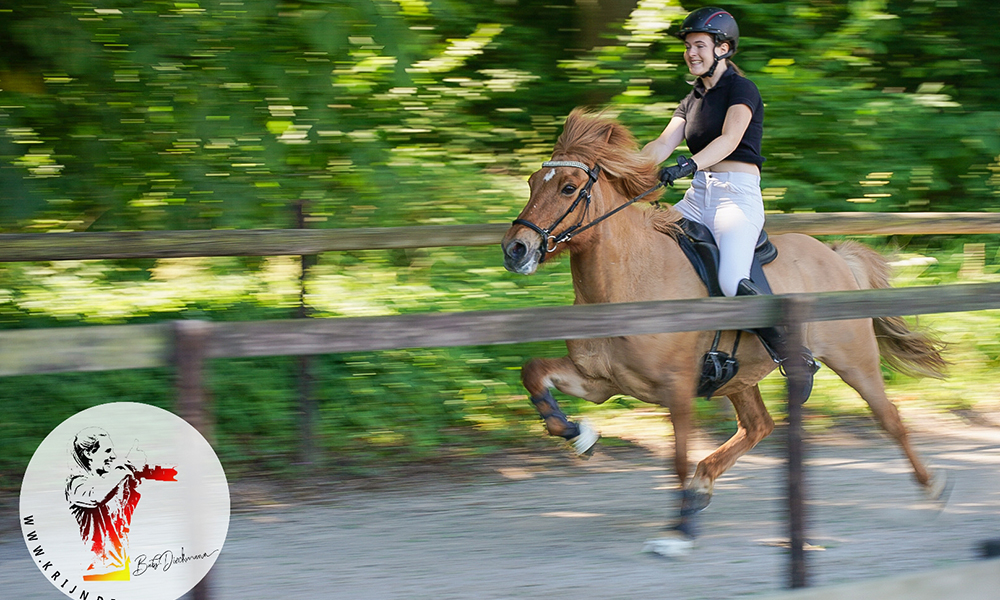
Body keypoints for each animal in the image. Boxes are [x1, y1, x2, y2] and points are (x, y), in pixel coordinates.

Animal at [504, 110, 948, 548]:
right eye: (531, 183)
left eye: (568, 187)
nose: (515, 249)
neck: (629, 283)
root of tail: (834, 255)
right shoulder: (599, 381)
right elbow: (534, 373)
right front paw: (579, 434)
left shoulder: (677, 387)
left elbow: (678, 459)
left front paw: (679, 532)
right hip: (739, 376)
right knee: (759, 425)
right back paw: (703, 486)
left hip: (853, 358)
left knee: (888, 417)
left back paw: (933, 489)